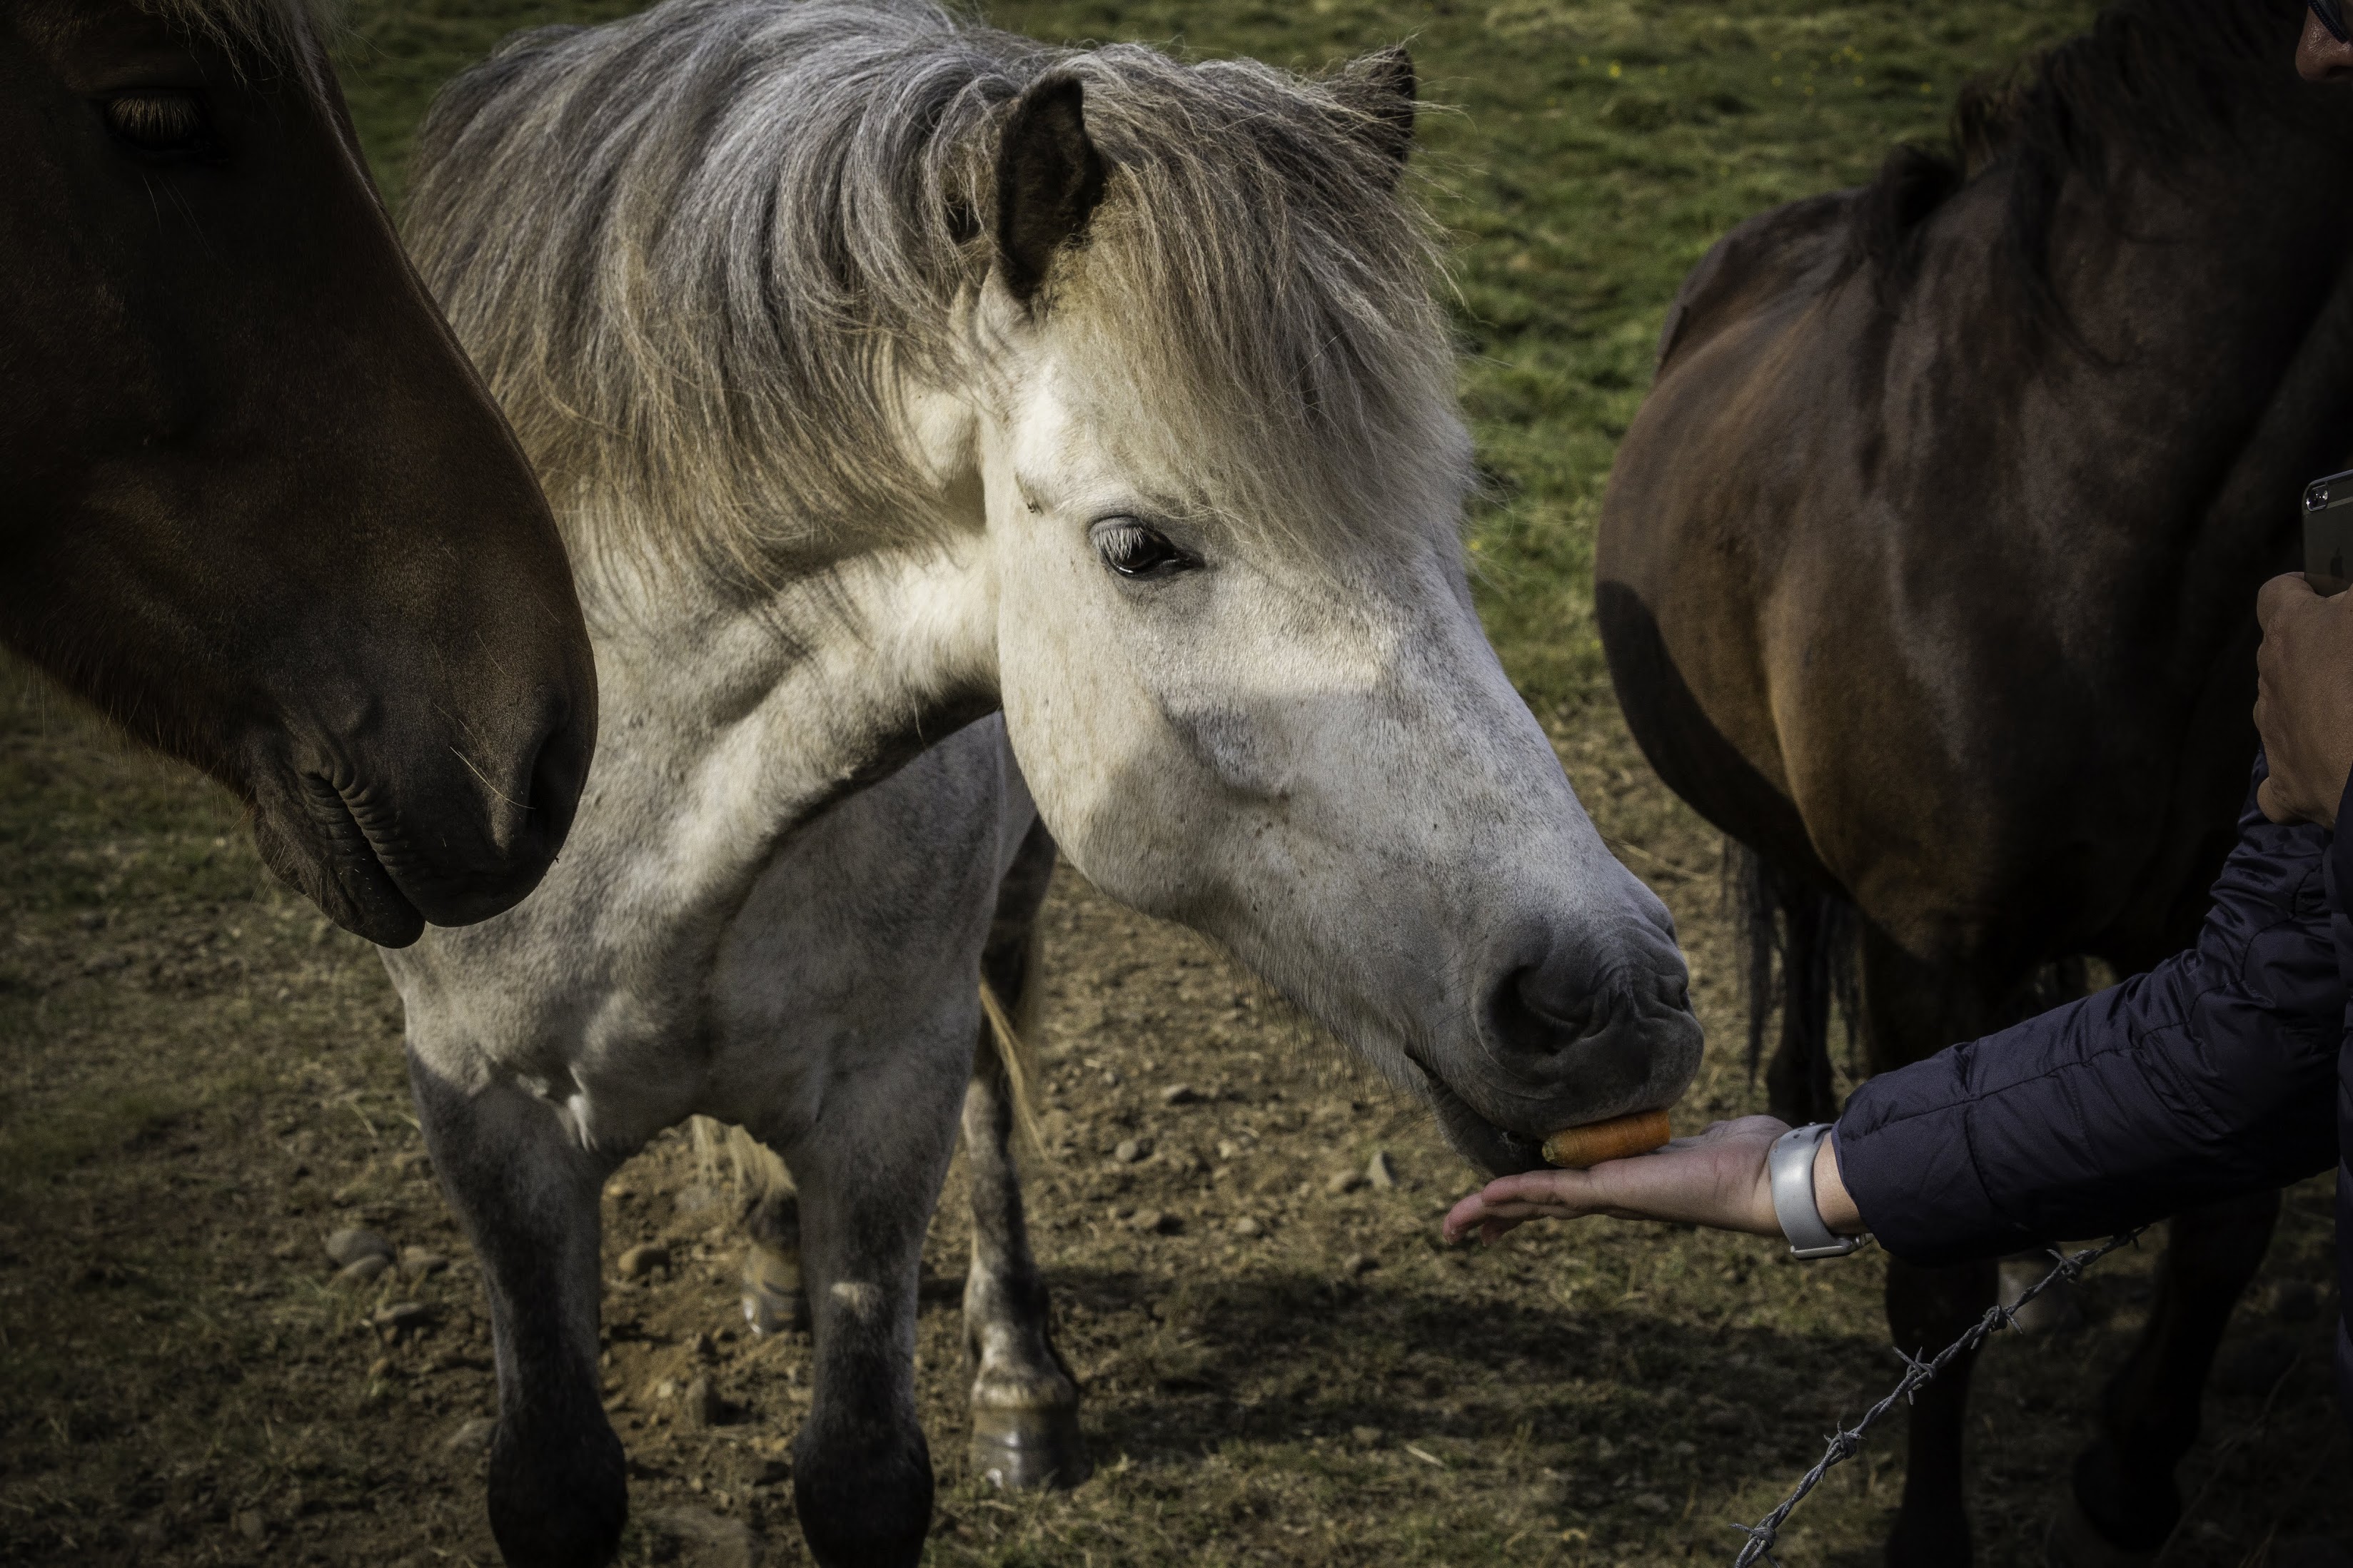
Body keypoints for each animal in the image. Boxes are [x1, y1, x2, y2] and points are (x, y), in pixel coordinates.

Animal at [391, 6, 1713, 1561]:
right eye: (1139, 547)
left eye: (1450, 512)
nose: (1611, 996)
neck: (630, 793)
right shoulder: (489, 1125)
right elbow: (554, 1478)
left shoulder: (884, 1100)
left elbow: (865, 1464)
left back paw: (1018, 1370)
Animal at [1591, 3, 2343, 1568]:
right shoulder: (1926, 941)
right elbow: (1932, 1288)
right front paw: (1933, 1531)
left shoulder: (2217, 928)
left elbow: (2222, 1221)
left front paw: (2132, 1467)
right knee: (1797, 908)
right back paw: (1804, 1087)